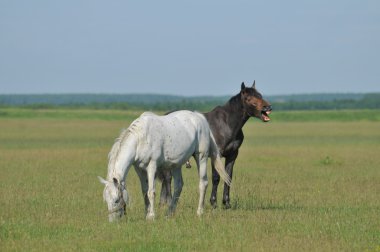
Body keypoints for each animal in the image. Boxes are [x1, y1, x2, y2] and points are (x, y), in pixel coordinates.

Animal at [97, 110, 232, 220]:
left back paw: (199, 212)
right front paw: (147, 213)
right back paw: (169, 213)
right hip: (176, 165)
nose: (112, 221)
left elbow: (151, 191)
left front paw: (151, 216)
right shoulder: (139, 169)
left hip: (201, 157)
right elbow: (144, 191)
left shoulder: (152, 166)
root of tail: (200, 118)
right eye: (106, 200)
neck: (140, 139)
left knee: (203, 183)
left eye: (116, 200)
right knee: (178, 186)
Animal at [159, 80, 272, 209]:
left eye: (260, 95)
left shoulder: (232, 155)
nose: (268, 107)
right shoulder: (216, 155)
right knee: (167, 178)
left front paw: (226, 203)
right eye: (248, 98)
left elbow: (228, 176)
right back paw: (168, 202)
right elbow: (216, 178)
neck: (226, 124)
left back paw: (163, 203)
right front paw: (213, 203)